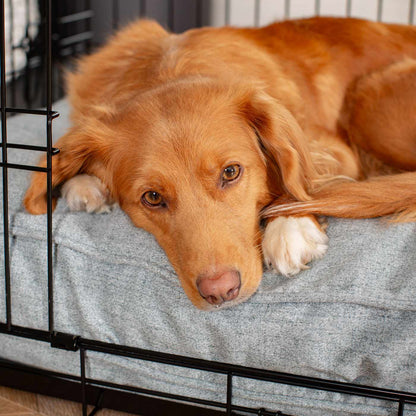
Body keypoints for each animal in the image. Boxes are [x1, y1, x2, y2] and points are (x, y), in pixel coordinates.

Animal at [23, 17, 416, 308]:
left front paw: (290, 226)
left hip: (369, 100)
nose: (221, 291)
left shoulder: (334, 148)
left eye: (231, 172)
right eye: (152, 198)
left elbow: (301, 177)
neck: (170, 69)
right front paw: (85, 183)